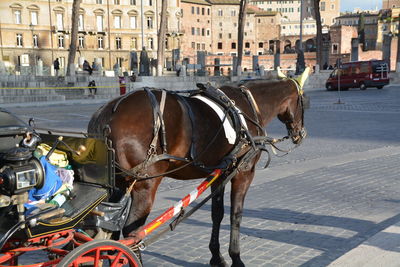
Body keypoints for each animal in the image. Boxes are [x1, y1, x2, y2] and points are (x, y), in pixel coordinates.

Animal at [86, 68, 306, 266]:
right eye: (305, 102)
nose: (300, 134)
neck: (248, 108)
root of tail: (108, 113)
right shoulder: (243, 172)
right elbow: (236, 214)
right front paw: (236, 258)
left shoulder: (221, 173)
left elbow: (217, 213)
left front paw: (216, 257)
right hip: (144, 185)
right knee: (132, 232)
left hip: (116, 185)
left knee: (103, 228)